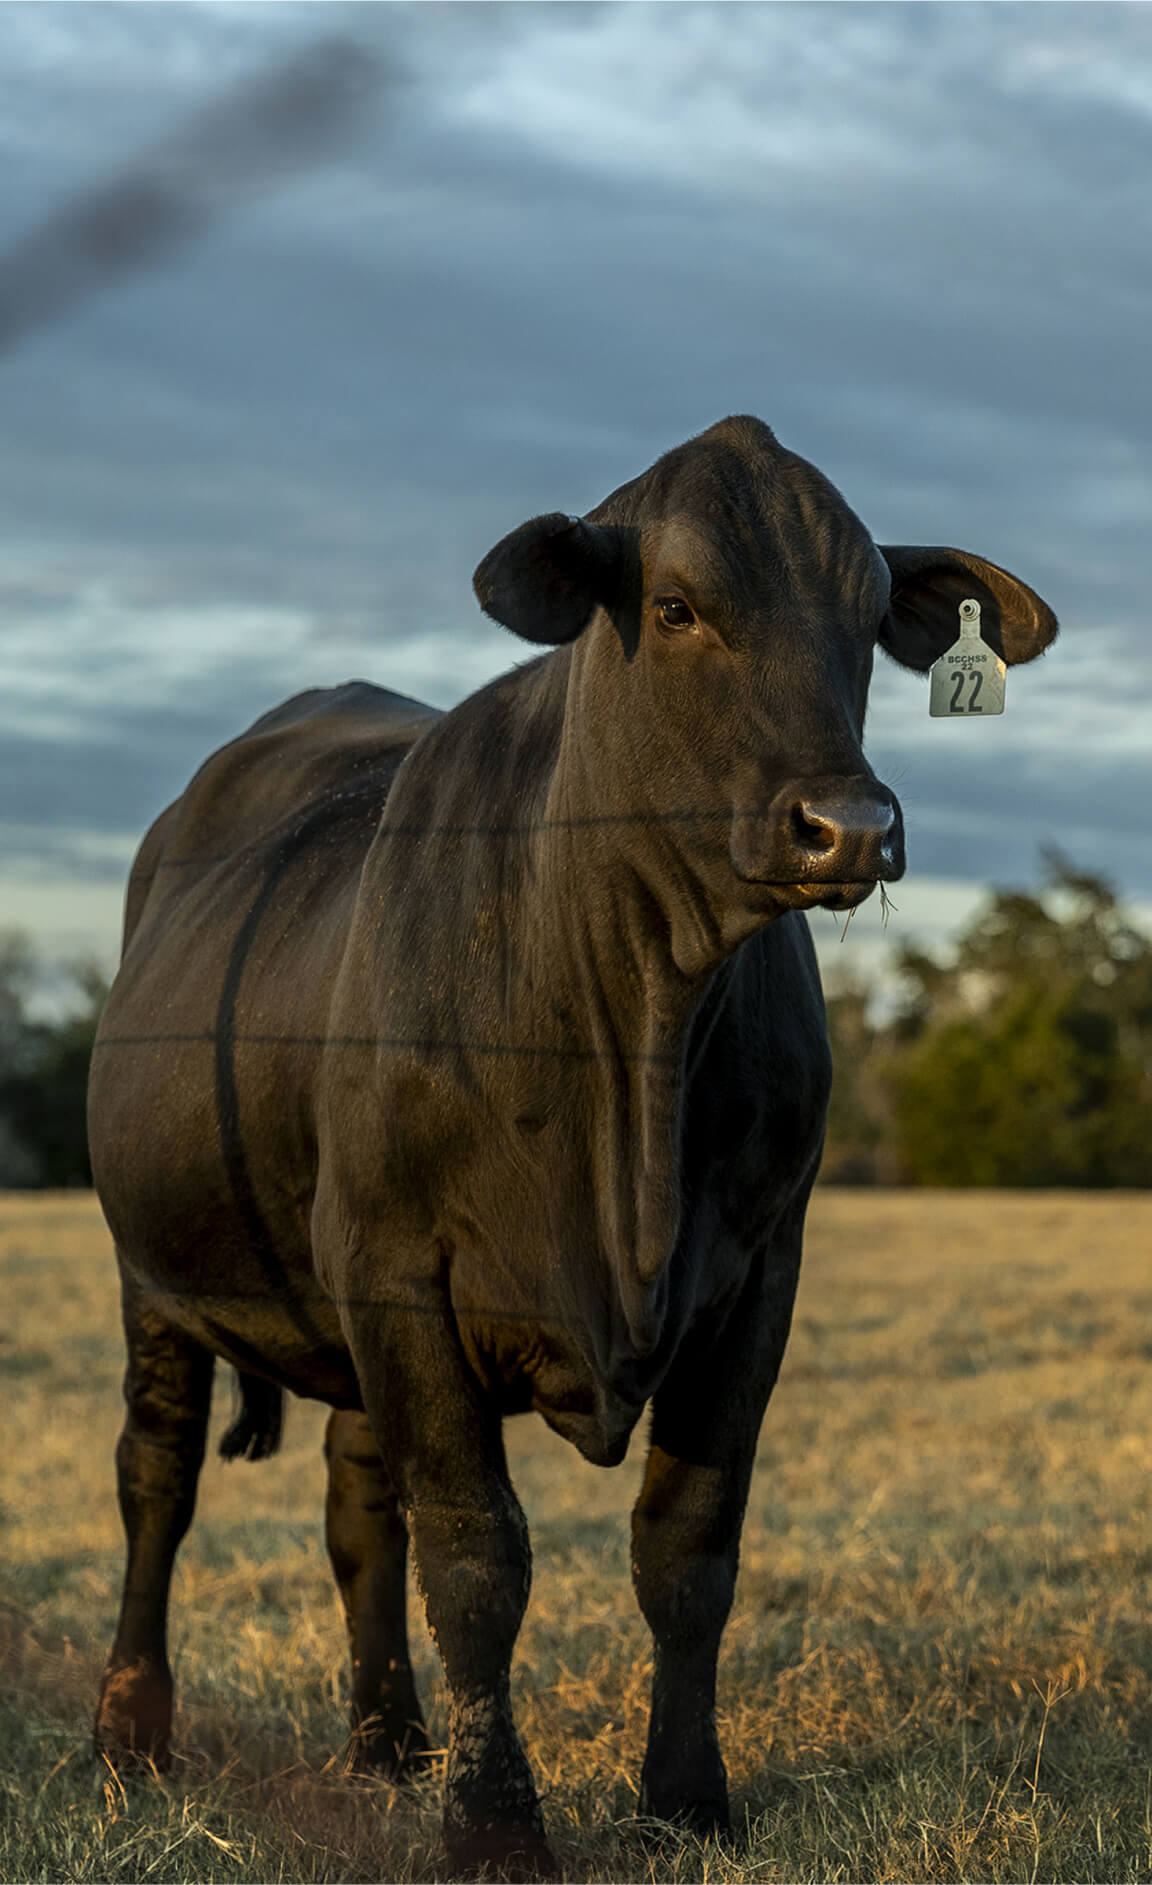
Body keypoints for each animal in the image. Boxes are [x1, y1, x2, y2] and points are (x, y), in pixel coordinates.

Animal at [88, 414, 1057, 1876]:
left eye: (868, 614)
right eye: (676, 607)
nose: (851, 826)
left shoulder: (757, 1273)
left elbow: (688, 1545)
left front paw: (687, 1796)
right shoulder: (402, 1271)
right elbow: (479, 1559)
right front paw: (496, 1826)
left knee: (356, 1498)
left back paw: (388, 1742)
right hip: (157, 1274)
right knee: (157, 1475)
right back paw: (131, 1734)